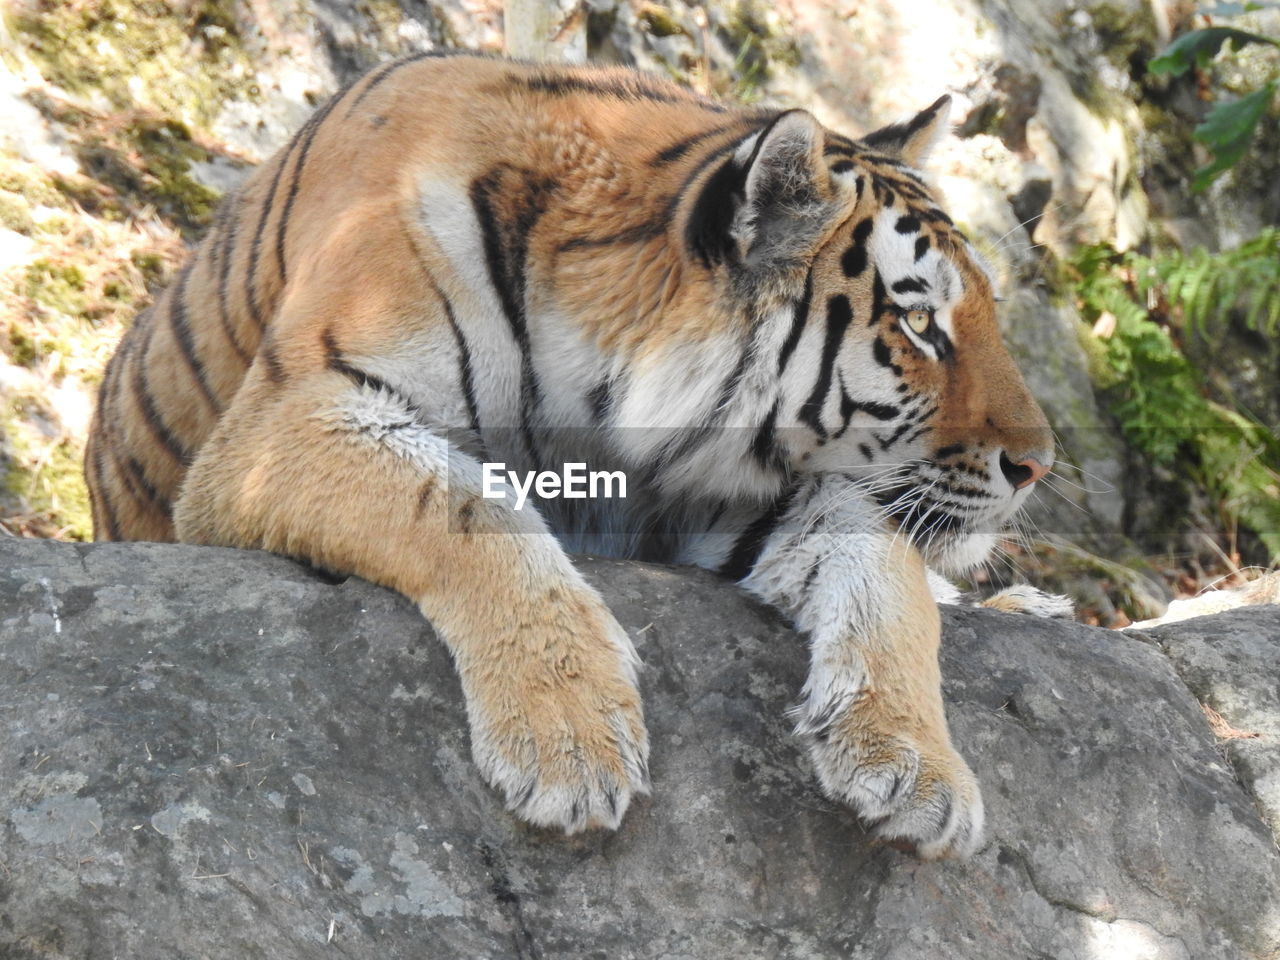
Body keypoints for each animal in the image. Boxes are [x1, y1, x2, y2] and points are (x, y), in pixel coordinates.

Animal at [82, 54, 1059, 865]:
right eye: (920, 323)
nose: (1041, 466)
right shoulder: (288, 416)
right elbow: (466, 501)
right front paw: (568, 735)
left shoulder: (720, 494)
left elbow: (887, 565)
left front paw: (918, 766)